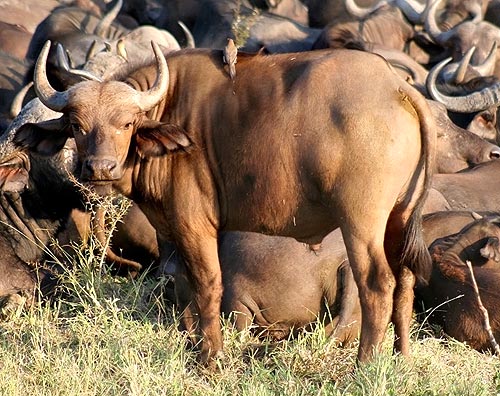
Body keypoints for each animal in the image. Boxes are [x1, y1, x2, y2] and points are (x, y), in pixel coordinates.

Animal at [16, 42, 438, 366]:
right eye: (76, 125)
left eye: (127, 123)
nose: (99, 167)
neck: (169, 111)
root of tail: (397, 88)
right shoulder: (171, 229)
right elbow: (183, 282)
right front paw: (193, 345)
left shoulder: (194, 223)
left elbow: (207, 284)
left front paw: (211, 358)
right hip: (398, 218)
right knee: (404, 281)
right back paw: (401, 358)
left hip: (361, 221)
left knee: (377, 283)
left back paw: (365, 364)